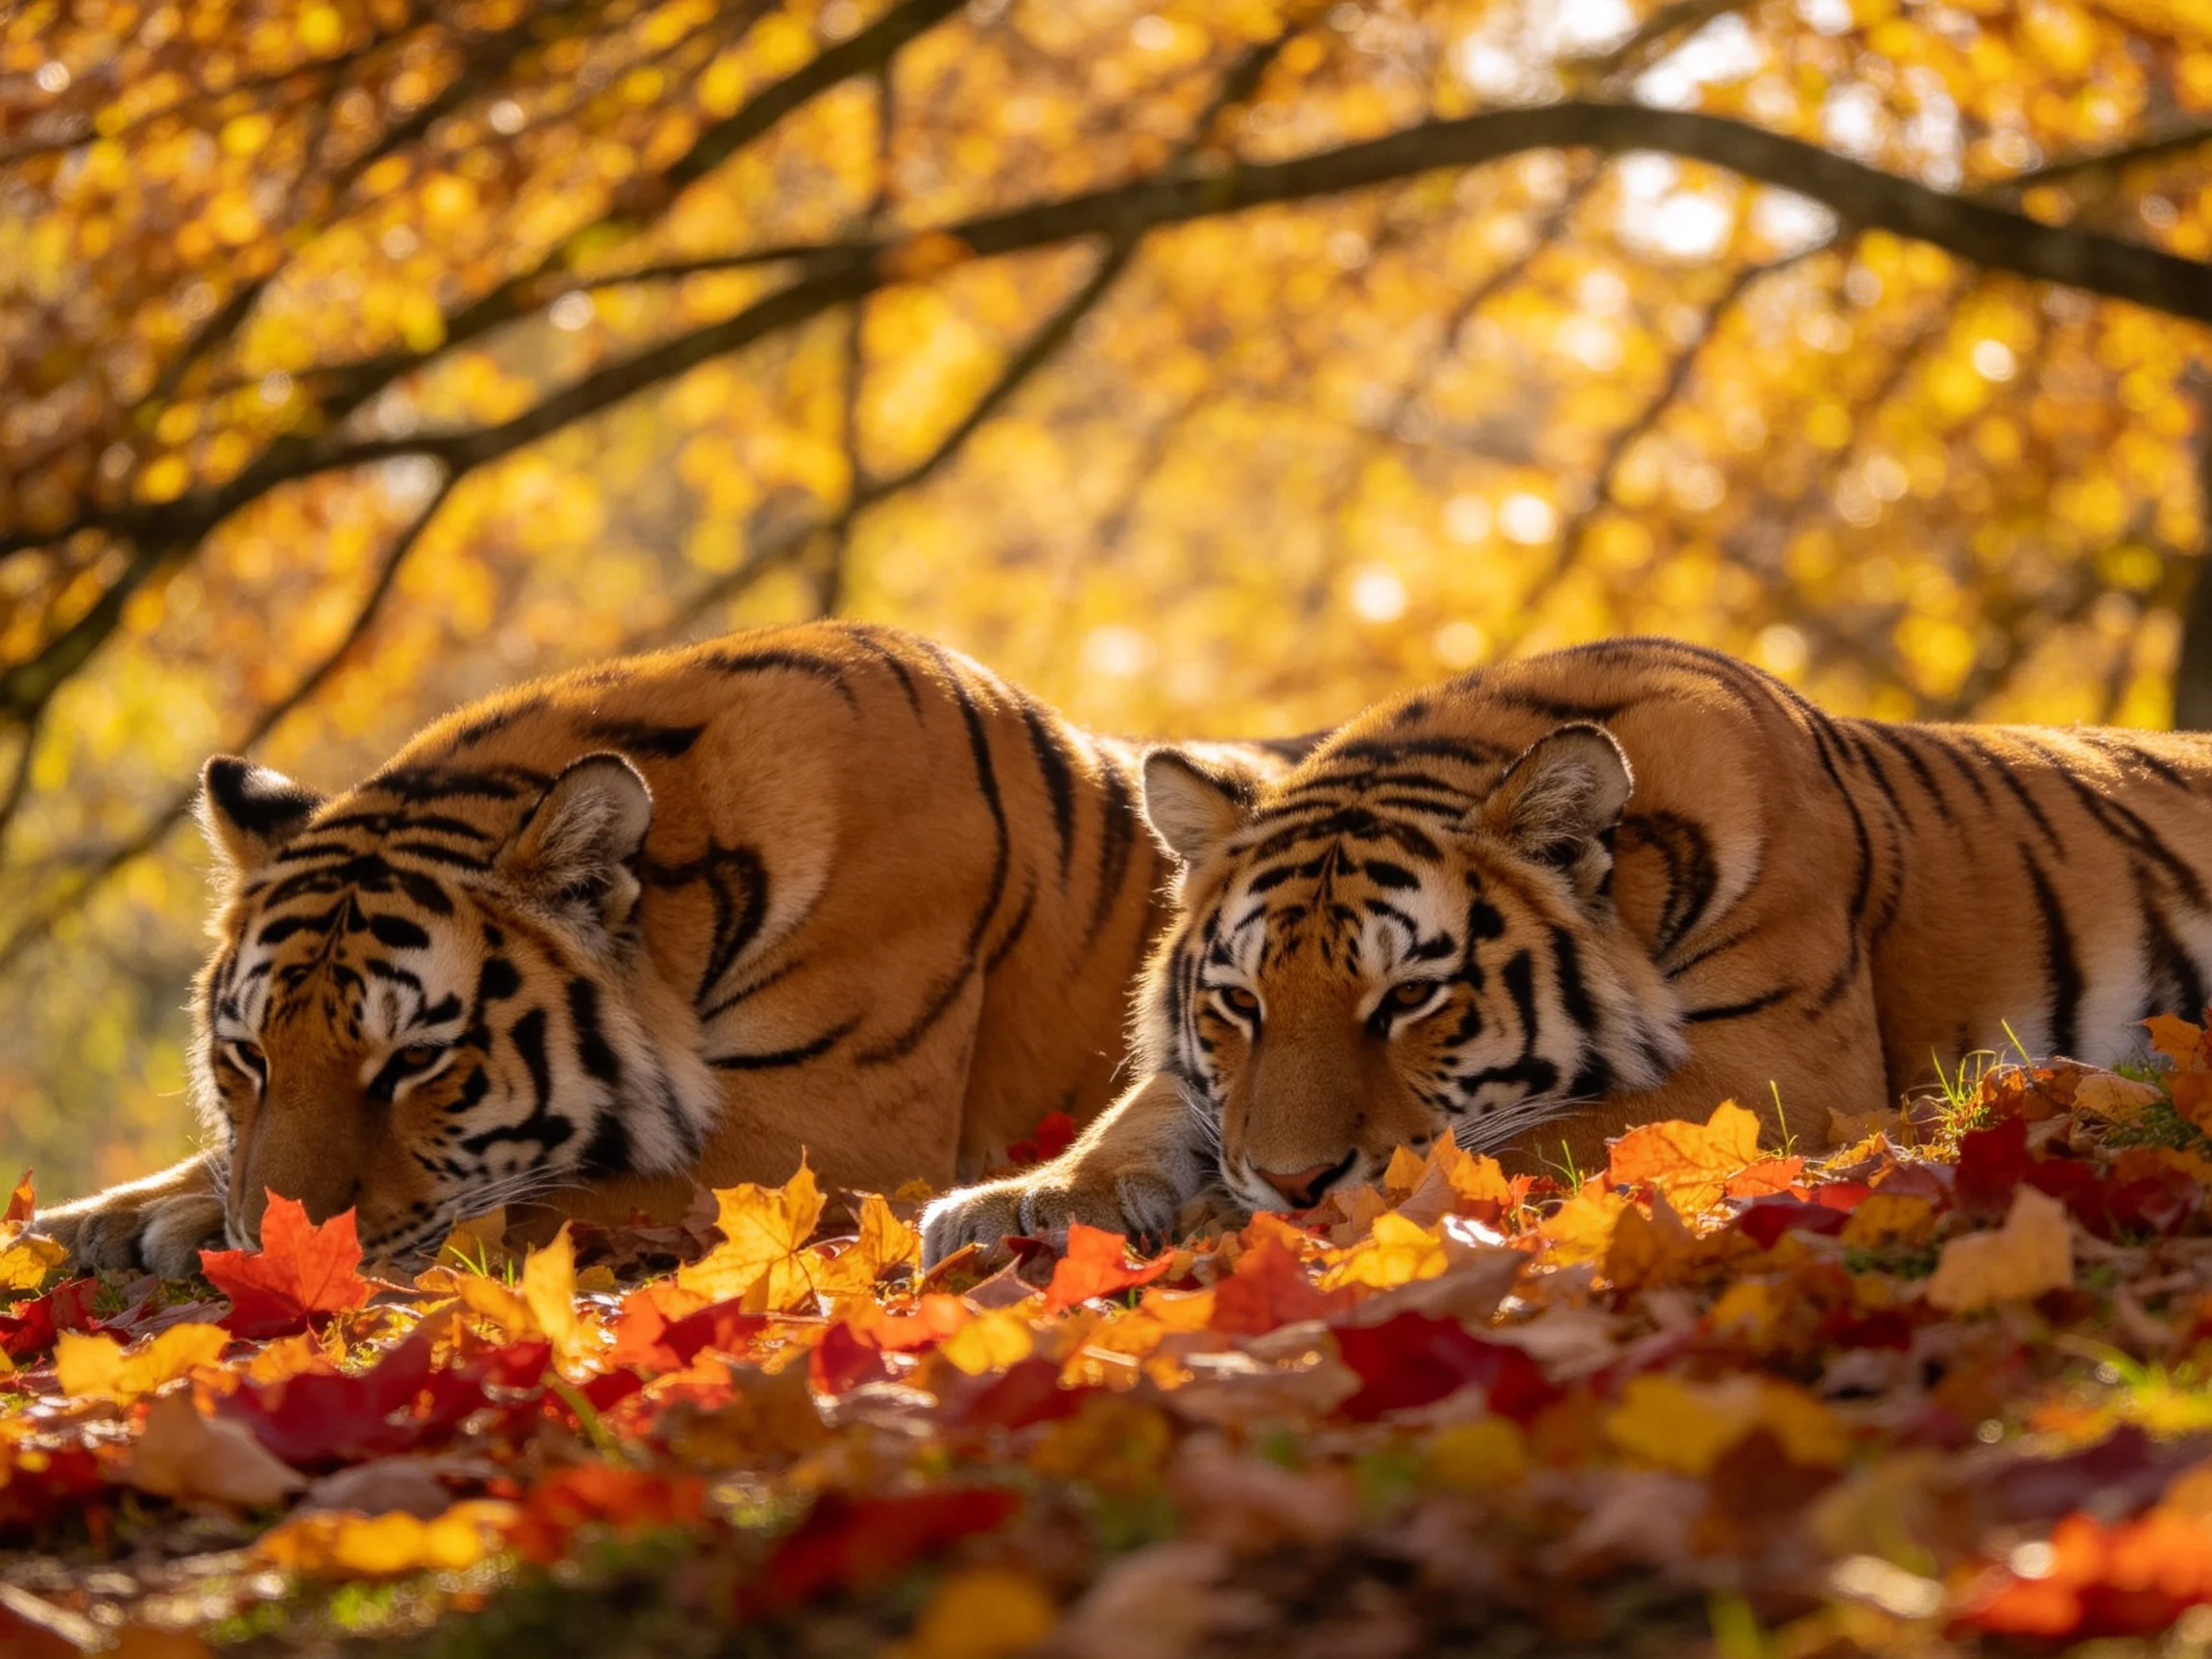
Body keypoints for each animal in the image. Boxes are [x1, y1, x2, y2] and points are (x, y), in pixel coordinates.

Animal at [34, 621, 1311, 1276]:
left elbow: (557, 1190)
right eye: (248, 1059)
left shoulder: (815, 1139)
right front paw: (109, 1214)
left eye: (414, 1064)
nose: (272, 1249)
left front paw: (176, 1224)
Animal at [920, 635, 2212, 1263]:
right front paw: (1017, 1200)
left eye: (1409, 998)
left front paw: (1229, 1223)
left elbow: (1533, 1139)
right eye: (1239, 1004)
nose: (1289, 1184)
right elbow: (1141, 1110)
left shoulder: (1769, 1072)